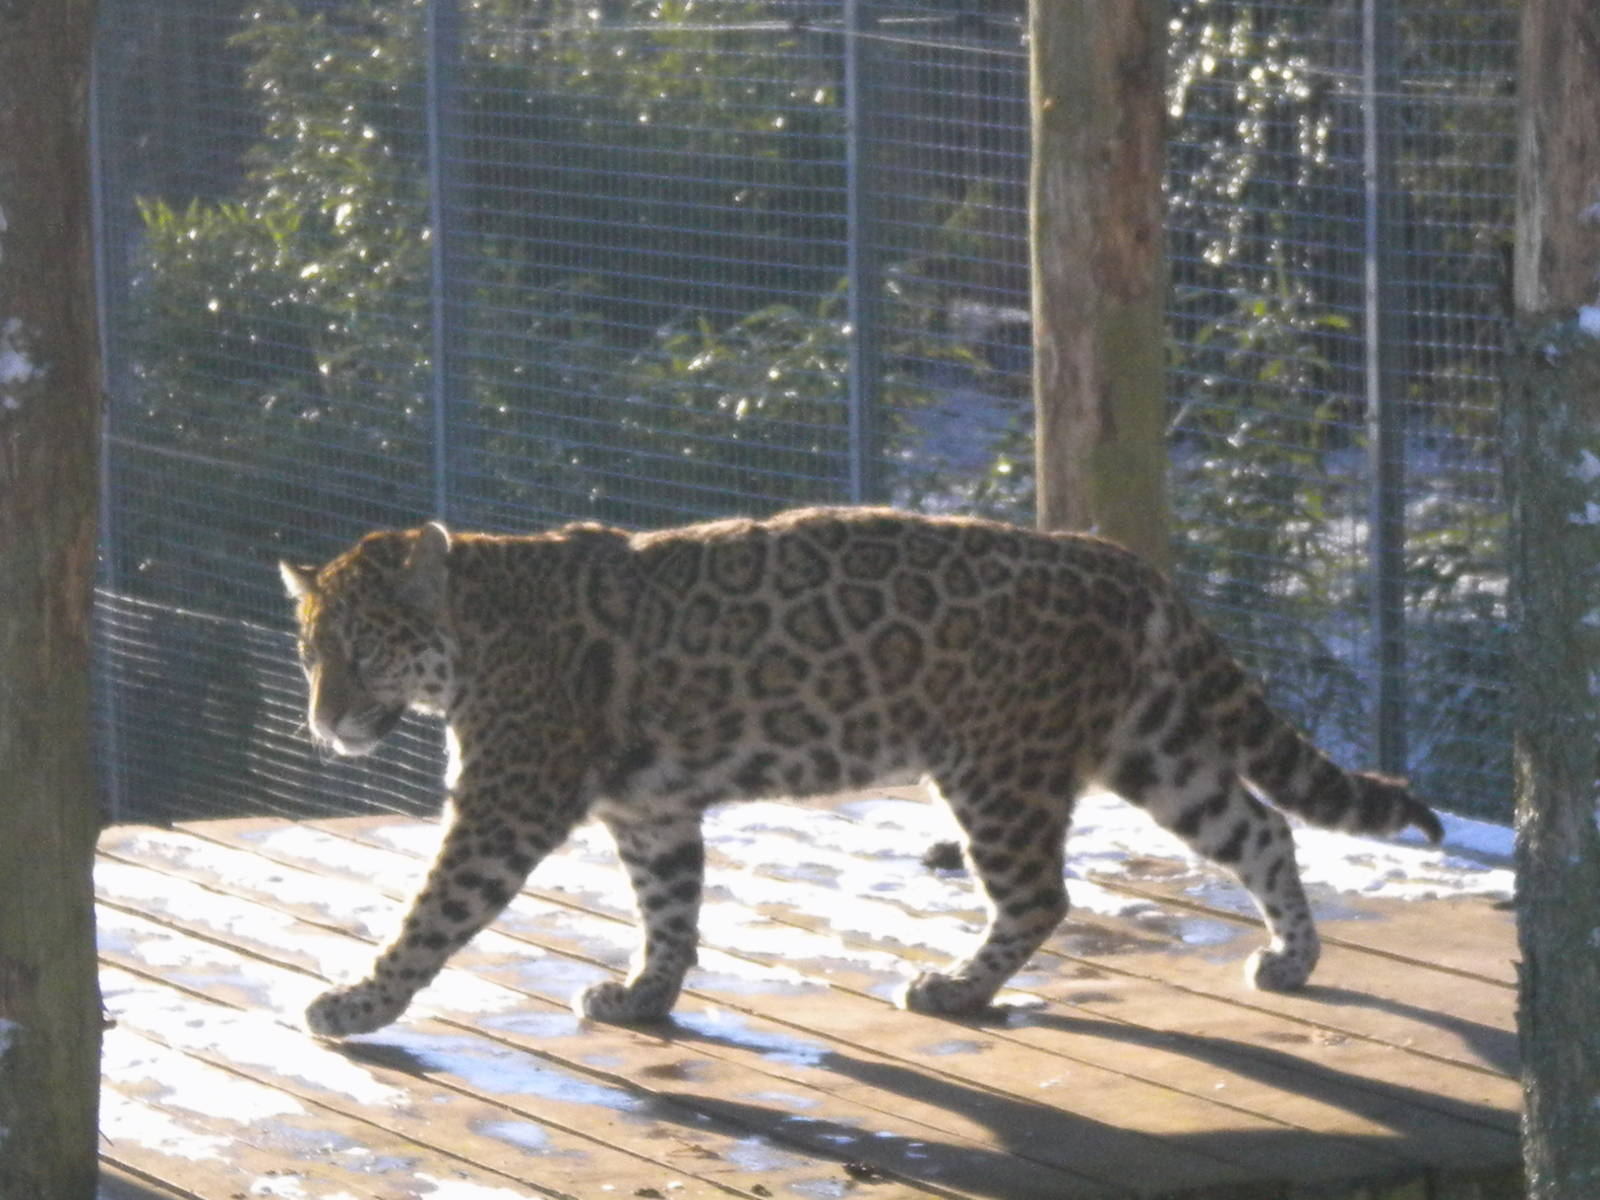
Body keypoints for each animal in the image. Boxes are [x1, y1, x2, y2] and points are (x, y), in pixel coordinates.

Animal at [279, 506, 1442, 1038]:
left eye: (364, 646)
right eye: (306, 649)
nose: (323, 721)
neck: (474, 629)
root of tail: (1126, 561)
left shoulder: (504, 804)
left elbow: (432, 914)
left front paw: (354, 1005)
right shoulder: (653, 808)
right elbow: (670, 909)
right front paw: (645, 997)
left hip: (998, 766)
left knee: (1041, 896)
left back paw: (955, 989)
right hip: (1152, 746)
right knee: (1259, 826)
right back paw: (1291, 960)